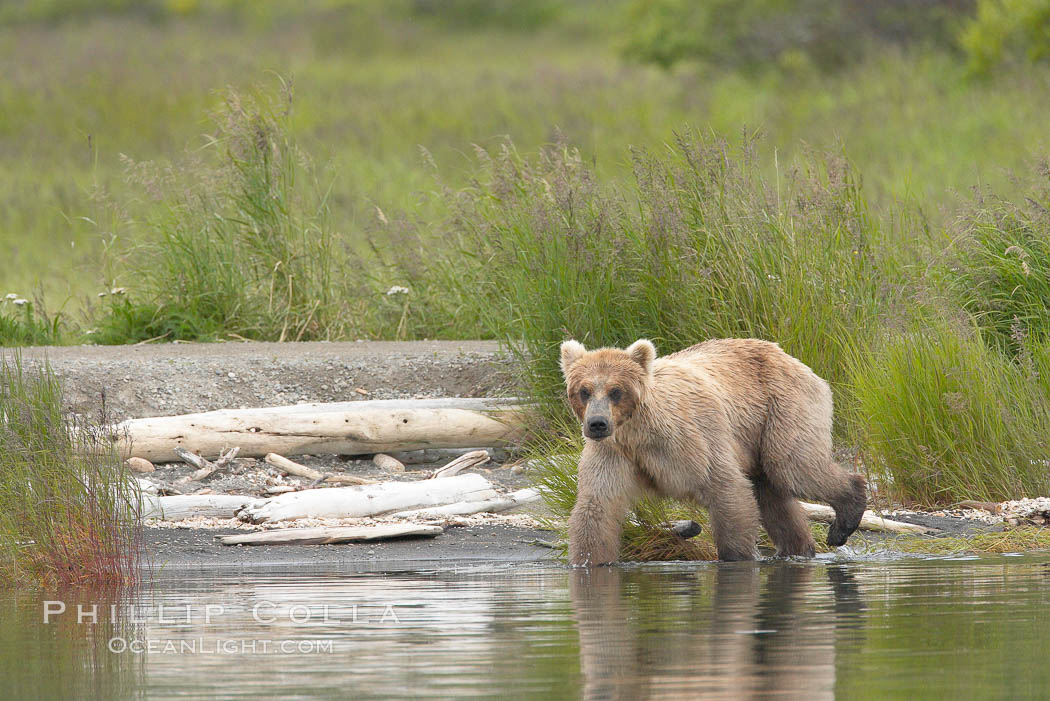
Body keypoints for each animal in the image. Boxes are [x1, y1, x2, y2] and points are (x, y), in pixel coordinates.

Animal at [562, 337, 865, 562]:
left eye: (616, 391)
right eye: (584, 391)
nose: (597, 424)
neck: (640, 434)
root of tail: (788, 356)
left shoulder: (689, 440)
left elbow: (725, 487)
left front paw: (736, 556)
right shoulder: (614, 453)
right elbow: (596, 507)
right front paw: (588, 561)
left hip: (782, 407)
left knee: (793, 467)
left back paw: (844, 520)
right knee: (772, 493)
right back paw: (797, 548)